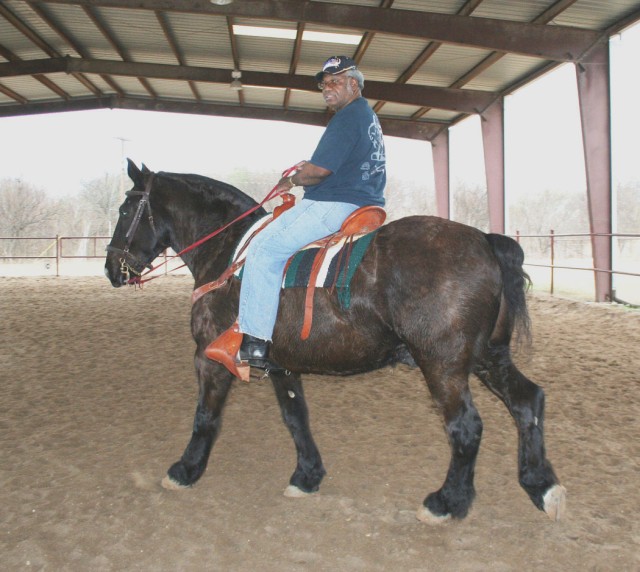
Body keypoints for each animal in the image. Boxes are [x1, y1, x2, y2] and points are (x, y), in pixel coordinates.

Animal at [105, 160, 564, 524]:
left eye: (126, 208)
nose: (112, 268)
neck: (230, 254)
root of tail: (485, 240)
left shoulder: (210, 359)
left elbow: (205, 417)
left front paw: (184, 470)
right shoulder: (282, 364)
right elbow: (296, 418)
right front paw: (307, 476)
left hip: (444, 365)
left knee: (465, 427)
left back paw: (446, 502)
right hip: (488, 357)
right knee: (527, 402)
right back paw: (541, 485)